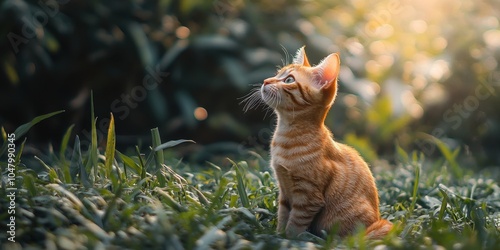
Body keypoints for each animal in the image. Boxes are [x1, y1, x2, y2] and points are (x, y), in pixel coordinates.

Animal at [245, 46, 390, 238]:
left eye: (289, 79)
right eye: (277, 74)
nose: (265, 81)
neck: (285, 137)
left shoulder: (308, 197)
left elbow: (294, 225)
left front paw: (286, 239)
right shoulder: (284, 193)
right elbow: (282, 218)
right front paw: (277, 236)